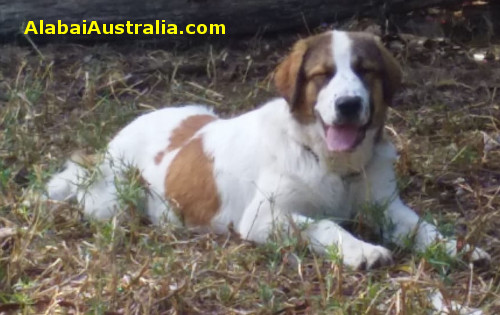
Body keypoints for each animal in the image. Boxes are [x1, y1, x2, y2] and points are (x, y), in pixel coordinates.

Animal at [47, 30, 488, 270]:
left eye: (366, 71)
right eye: (322, 75)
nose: (348, 104)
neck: (329, 161)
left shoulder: (386, 205)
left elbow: (419, 226)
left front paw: (455, 246)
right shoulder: (263, 218)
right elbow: (324, 224)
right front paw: (361, 249)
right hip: (113, 203)